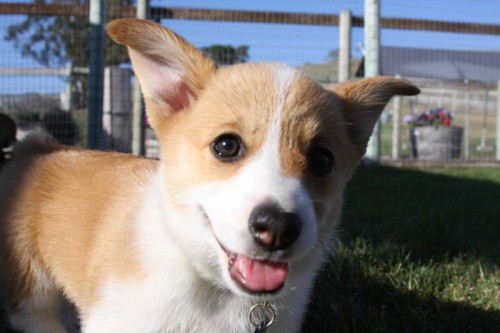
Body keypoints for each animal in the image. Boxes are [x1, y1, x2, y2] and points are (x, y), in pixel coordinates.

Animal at [0, 18, 418, 332]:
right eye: (226, 146)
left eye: (321, 160)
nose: (278, 228)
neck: (213, 290)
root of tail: (40, 146)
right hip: (30, 285)